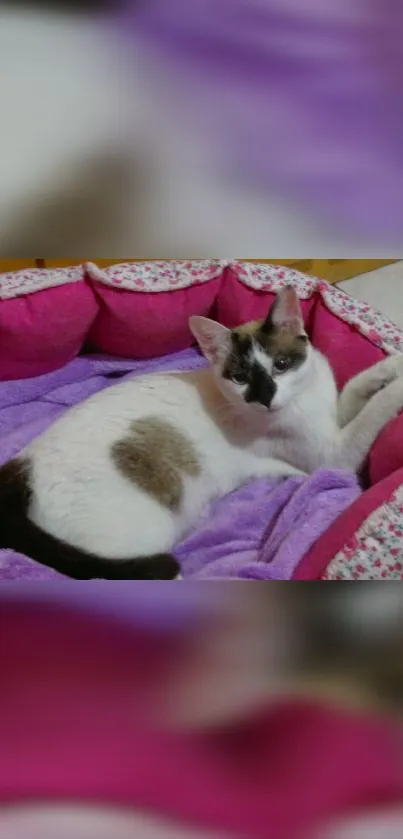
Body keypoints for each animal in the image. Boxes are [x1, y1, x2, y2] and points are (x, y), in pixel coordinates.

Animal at [0, 286, 403, 580]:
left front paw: (392, 366)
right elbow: (375, 411)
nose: (265, 398)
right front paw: (397, 388)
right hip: (146, 535)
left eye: (281, 365)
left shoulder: (332, 416)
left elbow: (357, 388)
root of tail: (18, 475)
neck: (303, 401)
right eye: (240, 378)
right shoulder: (333, 457)